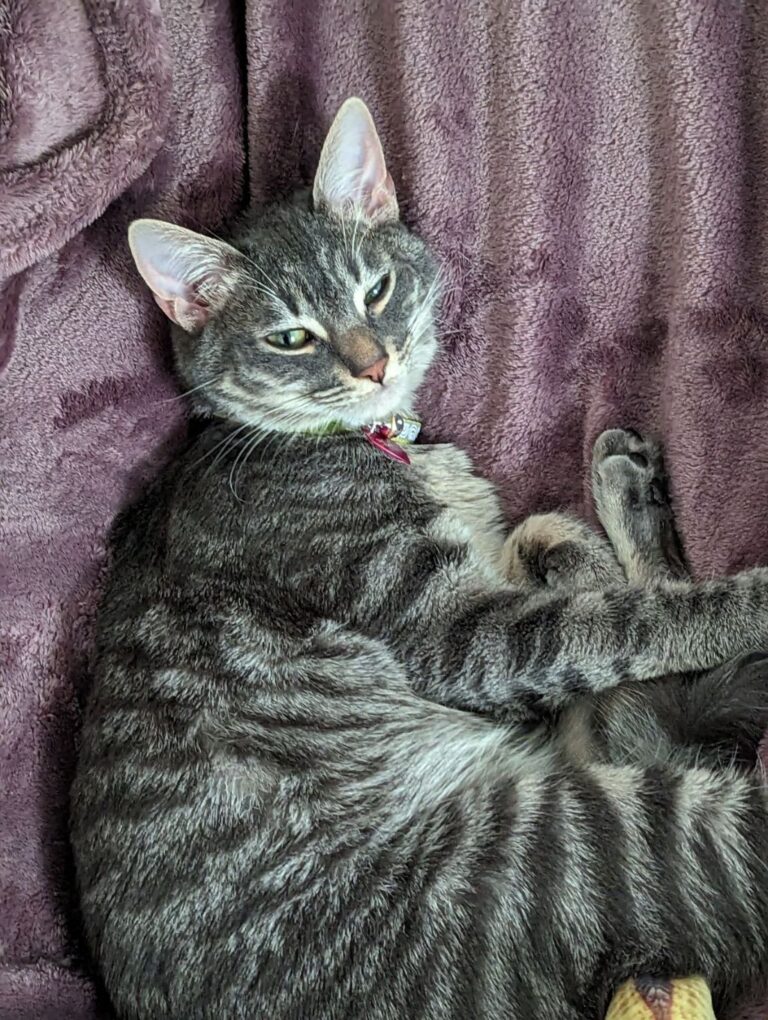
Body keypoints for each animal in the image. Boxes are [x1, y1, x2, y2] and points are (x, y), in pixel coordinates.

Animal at [70, 97, 768, 1020]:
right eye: (291, 336)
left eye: (377, 288)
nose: (376, 364)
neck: (377, 441)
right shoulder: (452, 629)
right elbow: (632, 622)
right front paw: (731, 597)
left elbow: (541, 539)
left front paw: (574, 546)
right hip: (601, 843)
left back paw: (625, 487)